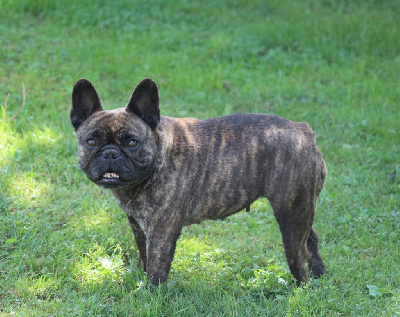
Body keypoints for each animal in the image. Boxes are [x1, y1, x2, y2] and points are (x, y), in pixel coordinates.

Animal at [71, 78, 328, 286]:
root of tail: (303, 131)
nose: (110, 153)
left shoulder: (161, 232)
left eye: (132, 143)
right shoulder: (138, 225)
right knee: (311, 239)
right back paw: (320, 275)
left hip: (290, 216)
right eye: (91, 142)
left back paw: (301, 287)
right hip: (300, 208)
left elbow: (156, 266)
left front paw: (150, 293)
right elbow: (144, 255)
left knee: (297, 255)